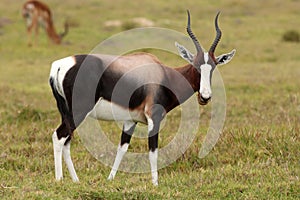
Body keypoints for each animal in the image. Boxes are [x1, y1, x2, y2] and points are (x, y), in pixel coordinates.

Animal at [49, 10, 236, 185]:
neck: (164, 74)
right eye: (196, 65)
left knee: (67, 140)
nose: (205, 96)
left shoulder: (130, 120)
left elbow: (122, 148)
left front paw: (110, 179)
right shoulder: (154, 117)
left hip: (66, 112)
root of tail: (60, 65)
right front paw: (155, 184)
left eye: (213, 67)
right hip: (78, 112)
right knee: (59, 136)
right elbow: (153, 151)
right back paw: (59, 179)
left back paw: (75, 180)